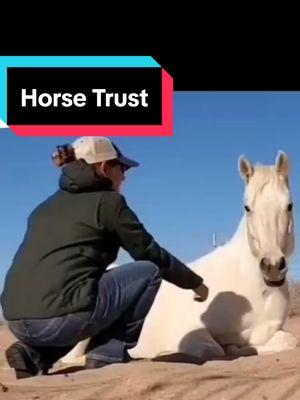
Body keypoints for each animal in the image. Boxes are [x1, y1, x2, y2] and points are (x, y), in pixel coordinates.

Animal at [61, 152, 298, 364]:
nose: (272, 266)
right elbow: (213, 350)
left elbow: (288, 341)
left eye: (289, 205)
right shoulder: (190, 332)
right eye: (247, 207)